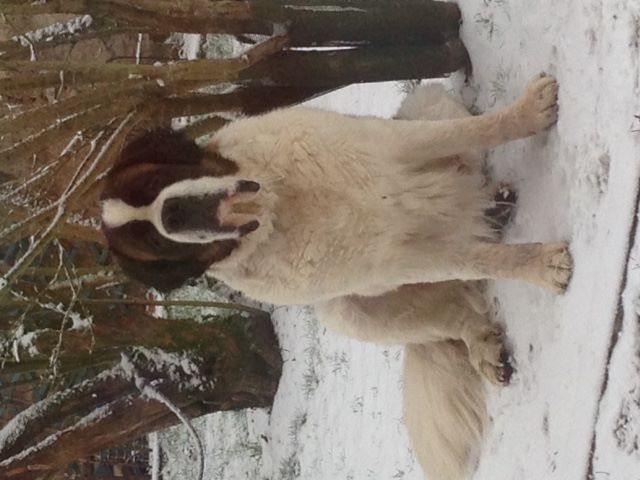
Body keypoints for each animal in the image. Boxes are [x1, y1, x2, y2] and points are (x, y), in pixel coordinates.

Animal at [102, 73, 572, 478]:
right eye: (160, 244)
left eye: (159, 180)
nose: (174, 214)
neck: (278, 204)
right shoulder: (402, 259)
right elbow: (481, 260)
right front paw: (542, 265)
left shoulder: (395, 144)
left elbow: (470, 131)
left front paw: (530, 111)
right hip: (344, 313)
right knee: (456, 315)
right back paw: (482, 341)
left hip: (427, 102)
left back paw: (494, 206)